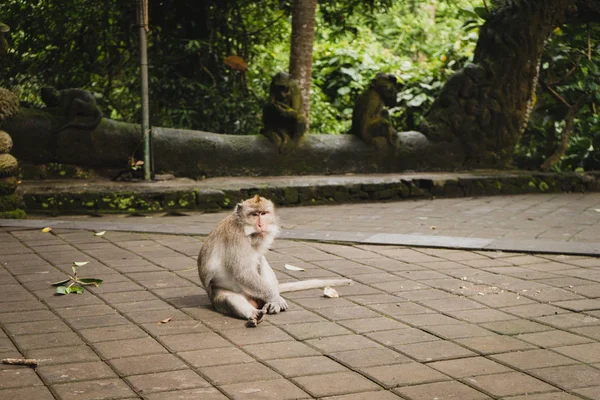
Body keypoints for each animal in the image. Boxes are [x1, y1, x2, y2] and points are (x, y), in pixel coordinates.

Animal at [197, 195, 352, 326]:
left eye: (263, 213)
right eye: (254, 214)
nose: (261, 225)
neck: (245, 229)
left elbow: (258, 261)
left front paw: (274, 299)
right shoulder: (235, 236)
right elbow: (242, 272)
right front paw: (275, 298)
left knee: (261, 260)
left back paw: (270, 303)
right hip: (219, 296)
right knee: (231, 299)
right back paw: (256, 312)